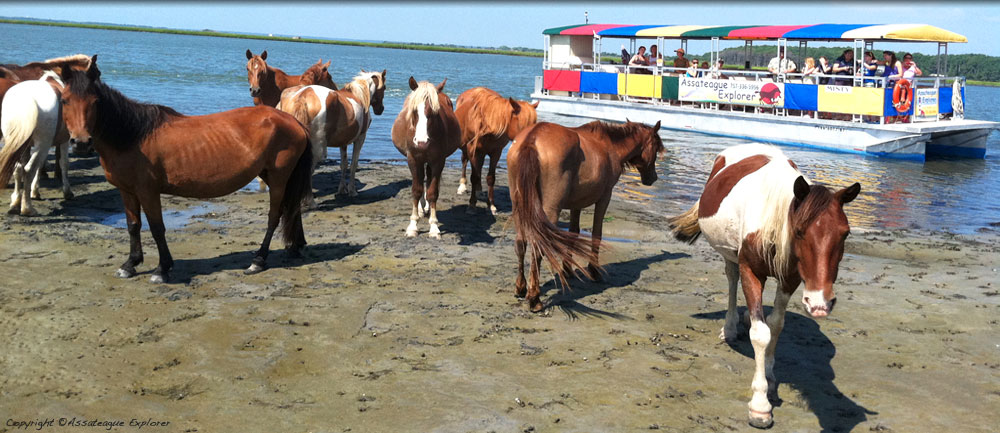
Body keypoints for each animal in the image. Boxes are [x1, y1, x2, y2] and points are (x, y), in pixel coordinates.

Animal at [0, 71, 73, 215]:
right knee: (29, 170)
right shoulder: (64, 141)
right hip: (43, 144)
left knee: (18, 168)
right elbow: (64, 164)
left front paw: (35, 191)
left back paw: (15, 203)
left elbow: (39, 166)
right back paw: (27, 208)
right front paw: (67, 192)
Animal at [390, 77, 460, 239]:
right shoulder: (414, 160)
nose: (421, 142)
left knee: (427, 182)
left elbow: (433, 192)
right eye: (414, 111)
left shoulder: (438, 161)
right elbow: (416, 190)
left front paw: (434, 227)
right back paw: (422, 209)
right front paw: (412, 226)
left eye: (435, 111)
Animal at [454, 87, 538, 215]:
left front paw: (491, 205)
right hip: (467, 149)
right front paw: (472, 205)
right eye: (523, 125)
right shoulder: (473, 150)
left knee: (479, 168)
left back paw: (479, 190)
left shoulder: (496, 153)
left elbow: (490, 178)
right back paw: (462, 185)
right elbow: (474, 177)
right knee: (464, 161)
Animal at [507, 120, 664, 311]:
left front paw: (567, 270)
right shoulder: (605, 197)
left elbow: (573, 234)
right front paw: (594, 271)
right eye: (656, 148)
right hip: (550, 210)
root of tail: (533, 137)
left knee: (521, 243)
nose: (653, 178)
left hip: (519, 206)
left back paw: (521, 287)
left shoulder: (577, 204)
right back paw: (534, 298)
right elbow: (597, 233)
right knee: (539, 247)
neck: (609, 146)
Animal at [667, 143, 860, 429]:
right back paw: (730, 327)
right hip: (731, 256)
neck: (773, 219)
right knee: (732, 280)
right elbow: (760, 334)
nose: (820, 303)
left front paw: (769, 373)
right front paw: (760, 404)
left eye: (845, 233)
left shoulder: (790, 279)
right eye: (800, 231)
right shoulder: (751, 271)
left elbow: (776, 325)